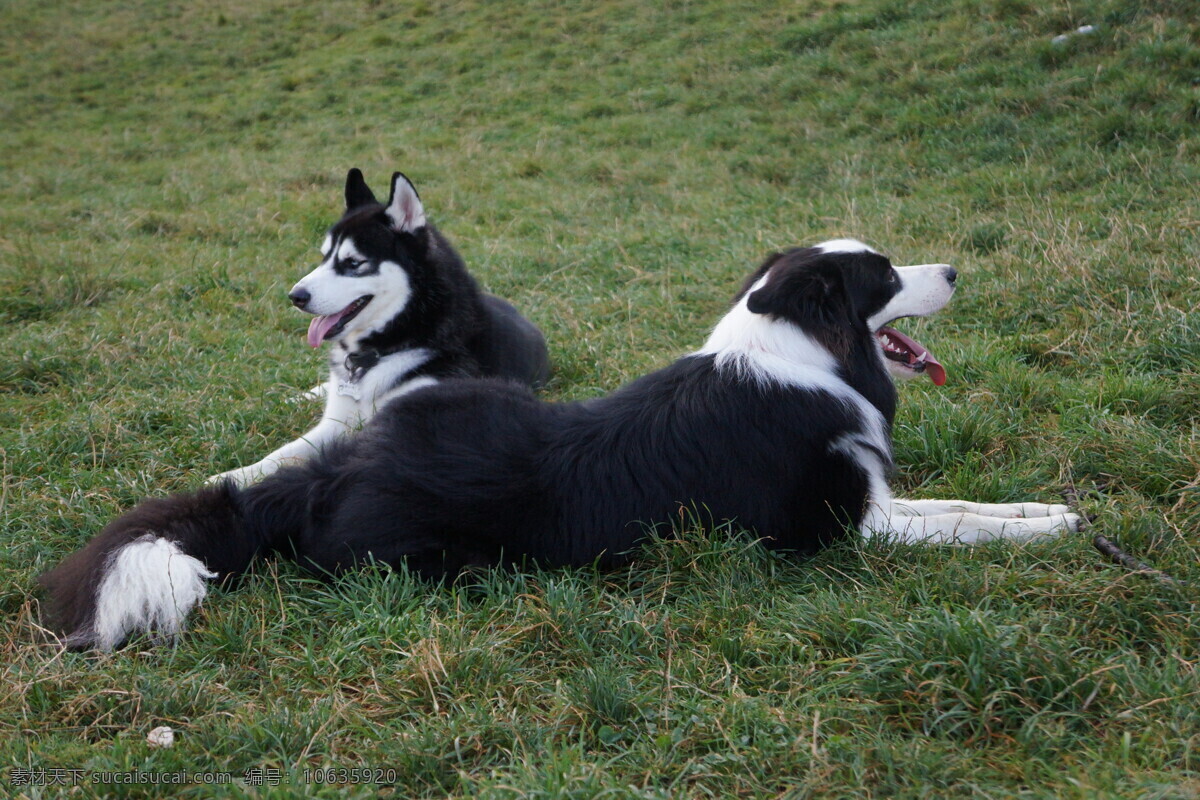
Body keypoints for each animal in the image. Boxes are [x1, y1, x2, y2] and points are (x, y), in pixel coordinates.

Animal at [42, 242, 1084, 652]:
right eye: (886, 276)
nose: (954, 269)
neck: (804, 352)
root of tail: (335, 473)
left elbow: (972, 505)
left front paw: (1053, 508)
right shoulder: (847, 528)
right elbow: (966, 523)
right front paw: (1057, 526)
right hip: (437, 555)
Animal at [212, 169, 552, 489]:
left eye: (353, 263)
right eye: (324, 257)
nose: (295, 296)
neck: (391, 343)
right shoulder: (335, 422)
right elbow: (283, 452)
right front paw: (234, 476)